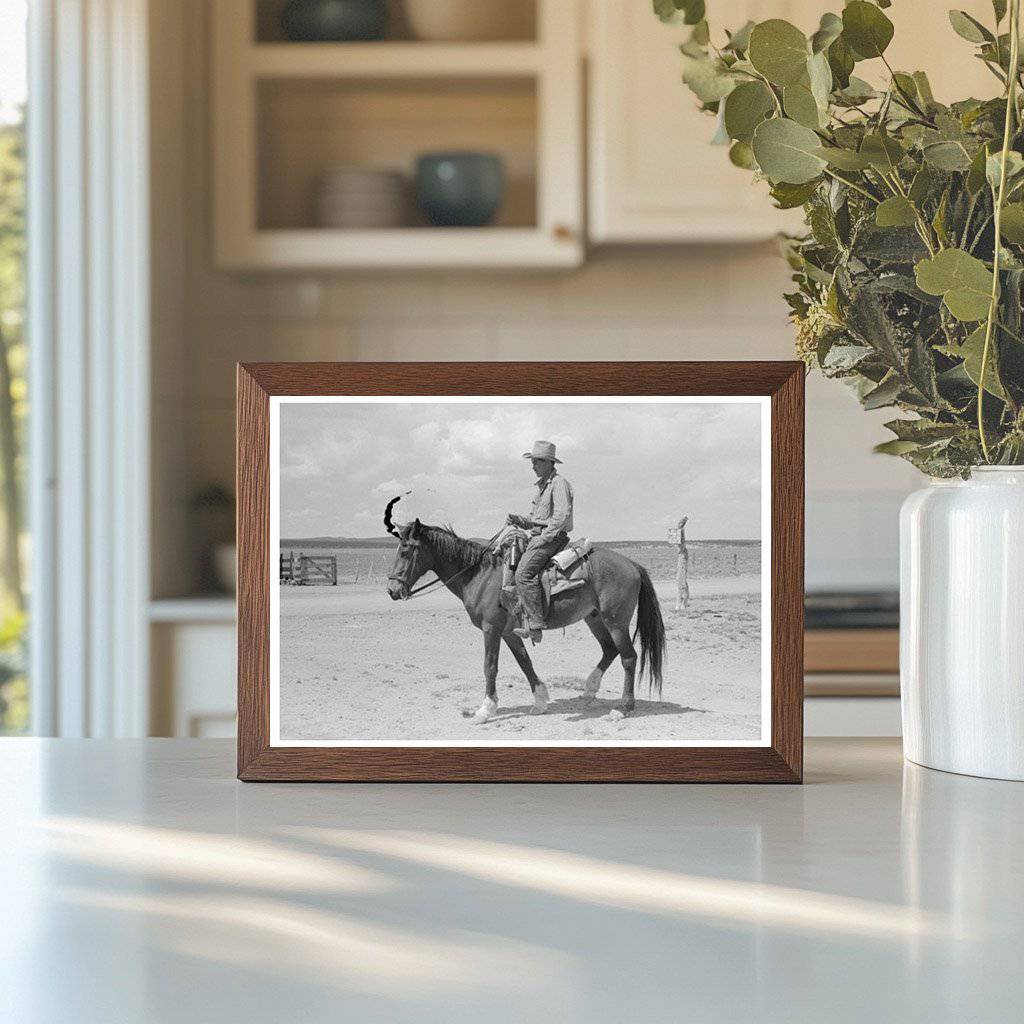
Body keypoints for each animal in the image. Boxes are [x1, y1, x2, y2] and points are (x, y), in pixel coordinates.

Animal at [382, 493, 663, 720]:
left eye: (405, 550)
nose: (392, 590)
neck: (478, 573)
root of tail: (632, 564)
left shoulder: (491, 629)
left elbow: (490, 666)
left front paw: (485, 710)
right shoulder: (509, 631)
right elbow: (524, 662)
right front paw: (539, 701)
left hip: (616, 621)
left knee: (629, 657)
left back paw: (623, 708)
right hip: (594, 617)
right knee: (609, 650)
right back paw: (589, 690)